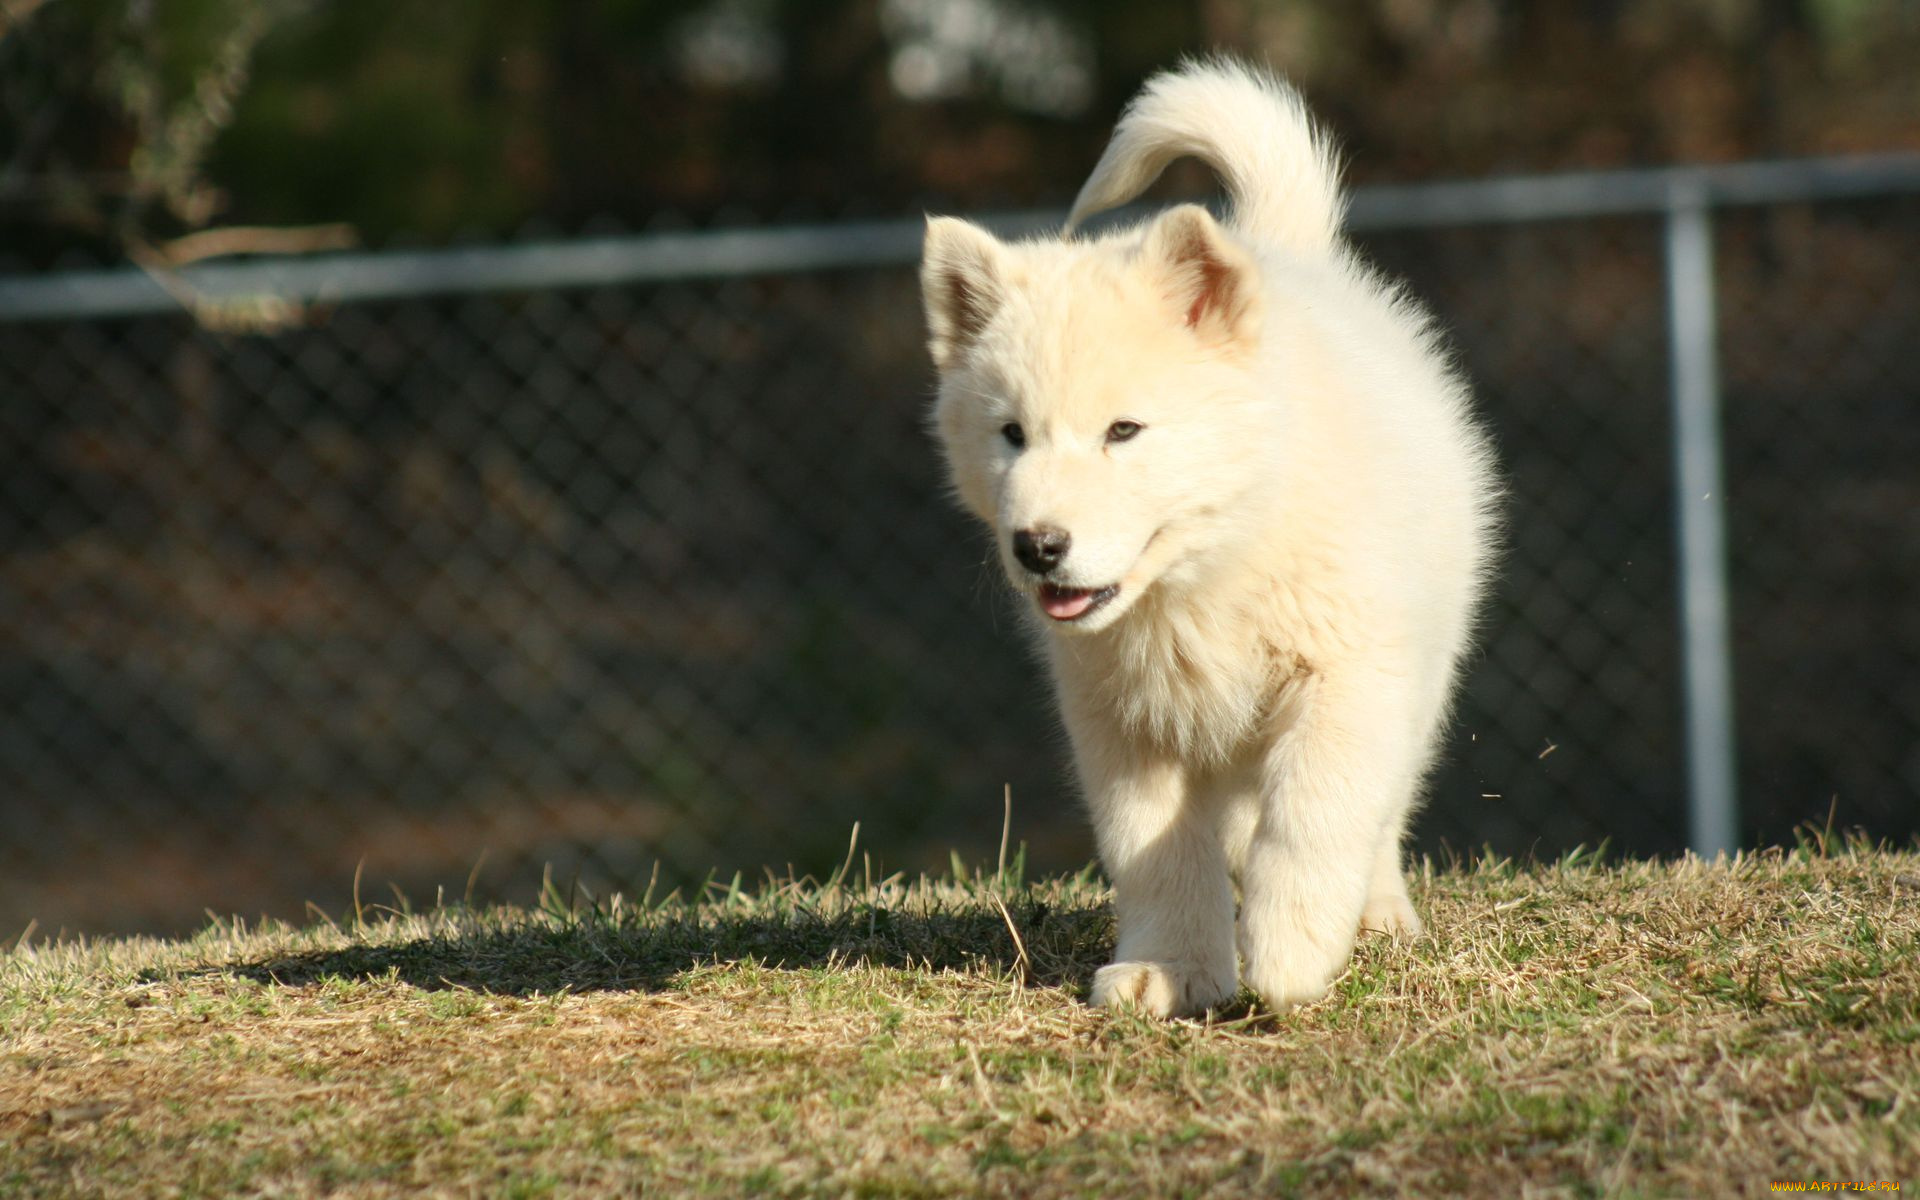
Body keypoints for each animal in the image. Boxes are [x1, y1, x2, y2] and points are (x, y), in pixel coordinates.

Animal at [917, 56, 1497, 1013]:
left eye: (1123, 431)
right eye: (1011, 435)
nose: (1037, 548)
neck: (1209, 573)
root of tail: (1280, 250)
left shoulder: (1349, 672)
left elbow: (1315, 810)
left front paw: (1292, 948)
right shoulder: (1122, 722)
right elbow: (1158, 854)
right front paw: (1172, 969)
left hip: (1425, 667)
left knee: (1377, 807)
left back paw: (1375, 914)